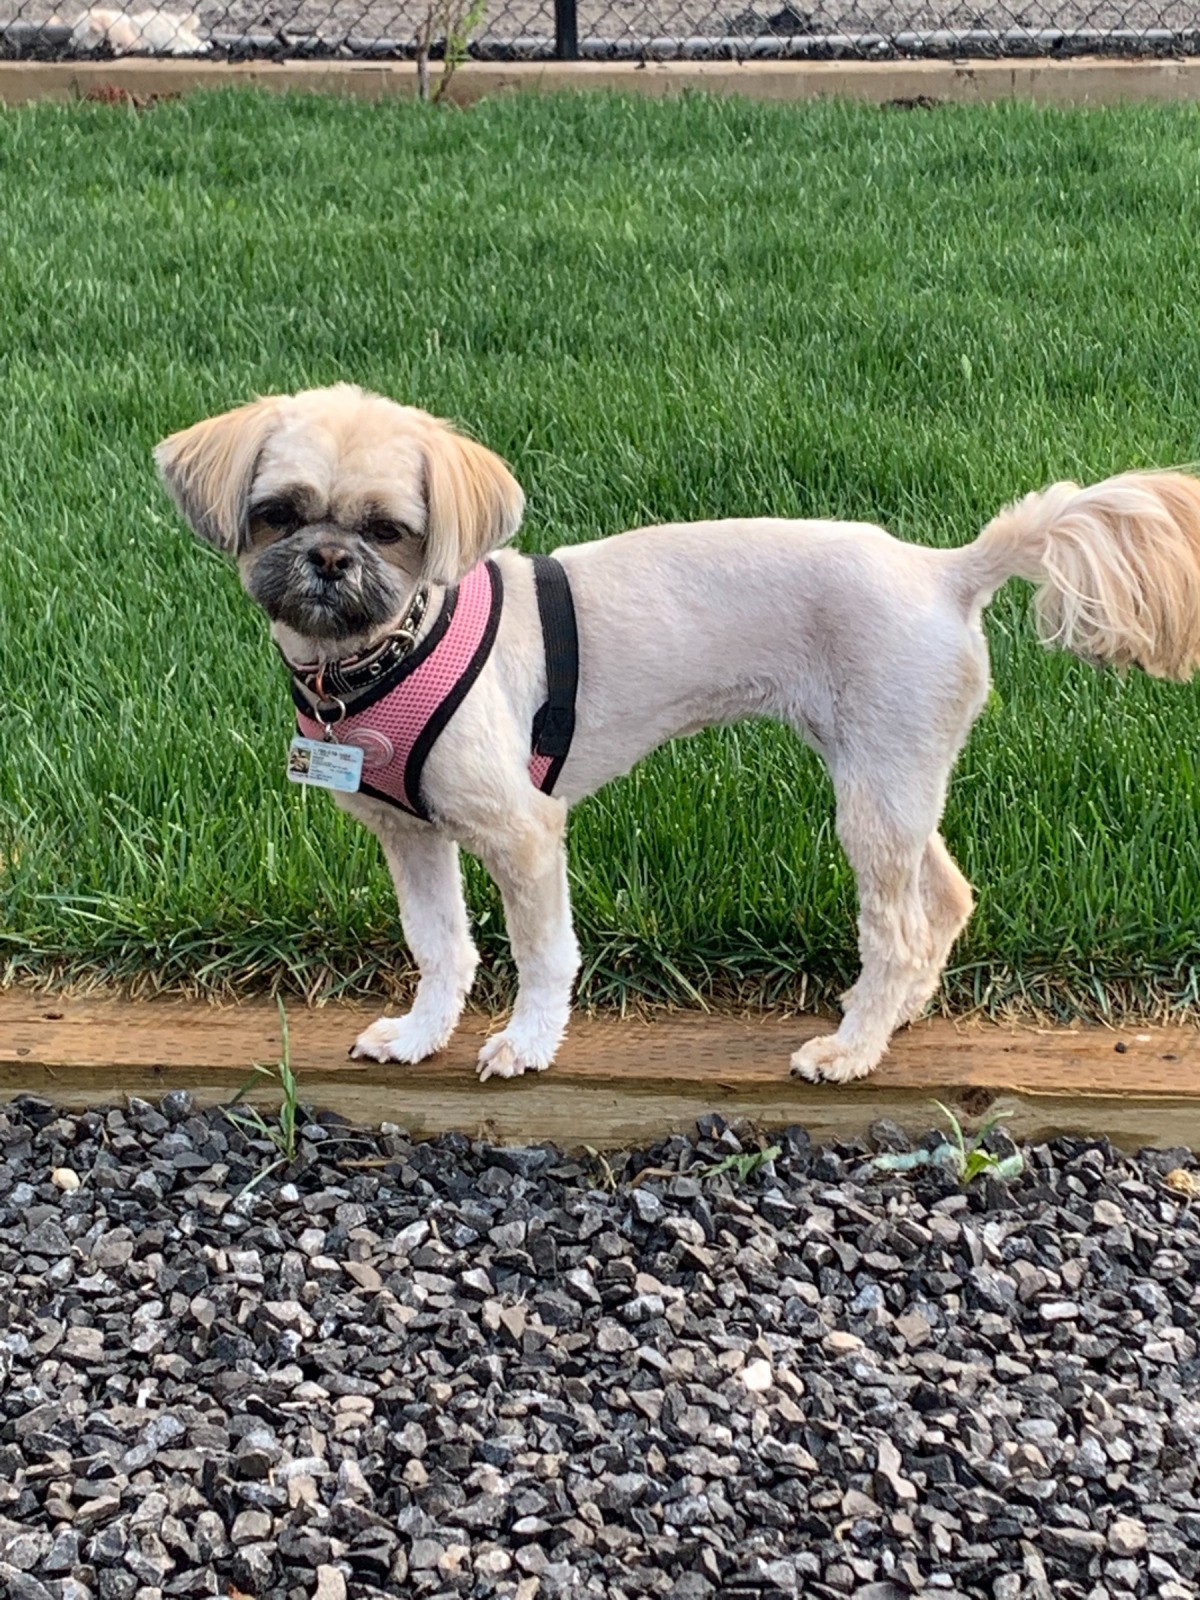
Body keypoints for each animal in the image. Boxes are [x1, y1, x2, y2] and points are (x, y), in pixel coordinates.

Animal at [155, 384, 1200, 1088]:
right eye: (278, 513)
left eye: (390, 529)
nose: (330, 559)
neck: (385, 654)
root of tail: (946, 571)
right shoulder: (411, 836)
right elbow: (440, 946)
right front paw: (419, 1035)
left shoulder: (523, 832)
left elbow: (544, 954)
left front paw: (525, 1045)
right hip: (891, 773)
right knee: (941, 900)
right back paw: (890, 1020)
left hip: (876, 789)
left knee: (899, 930)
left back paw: (850, 1048)